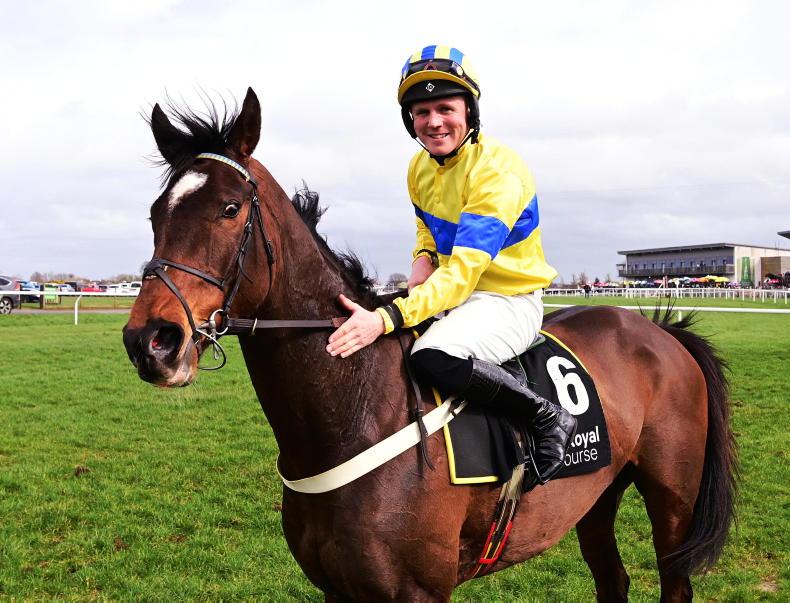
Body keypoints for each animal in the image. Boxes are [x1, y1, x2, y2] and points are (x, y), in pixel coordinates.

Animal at [122, 88, 738, 602]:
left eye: (230, 208)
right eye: (154, 213)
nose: (150, 341)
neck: (354, 411)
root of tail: (658, 329)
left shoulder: (417, 591)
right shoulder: (338, 589)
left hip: (673, 500)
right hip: (597, 493)